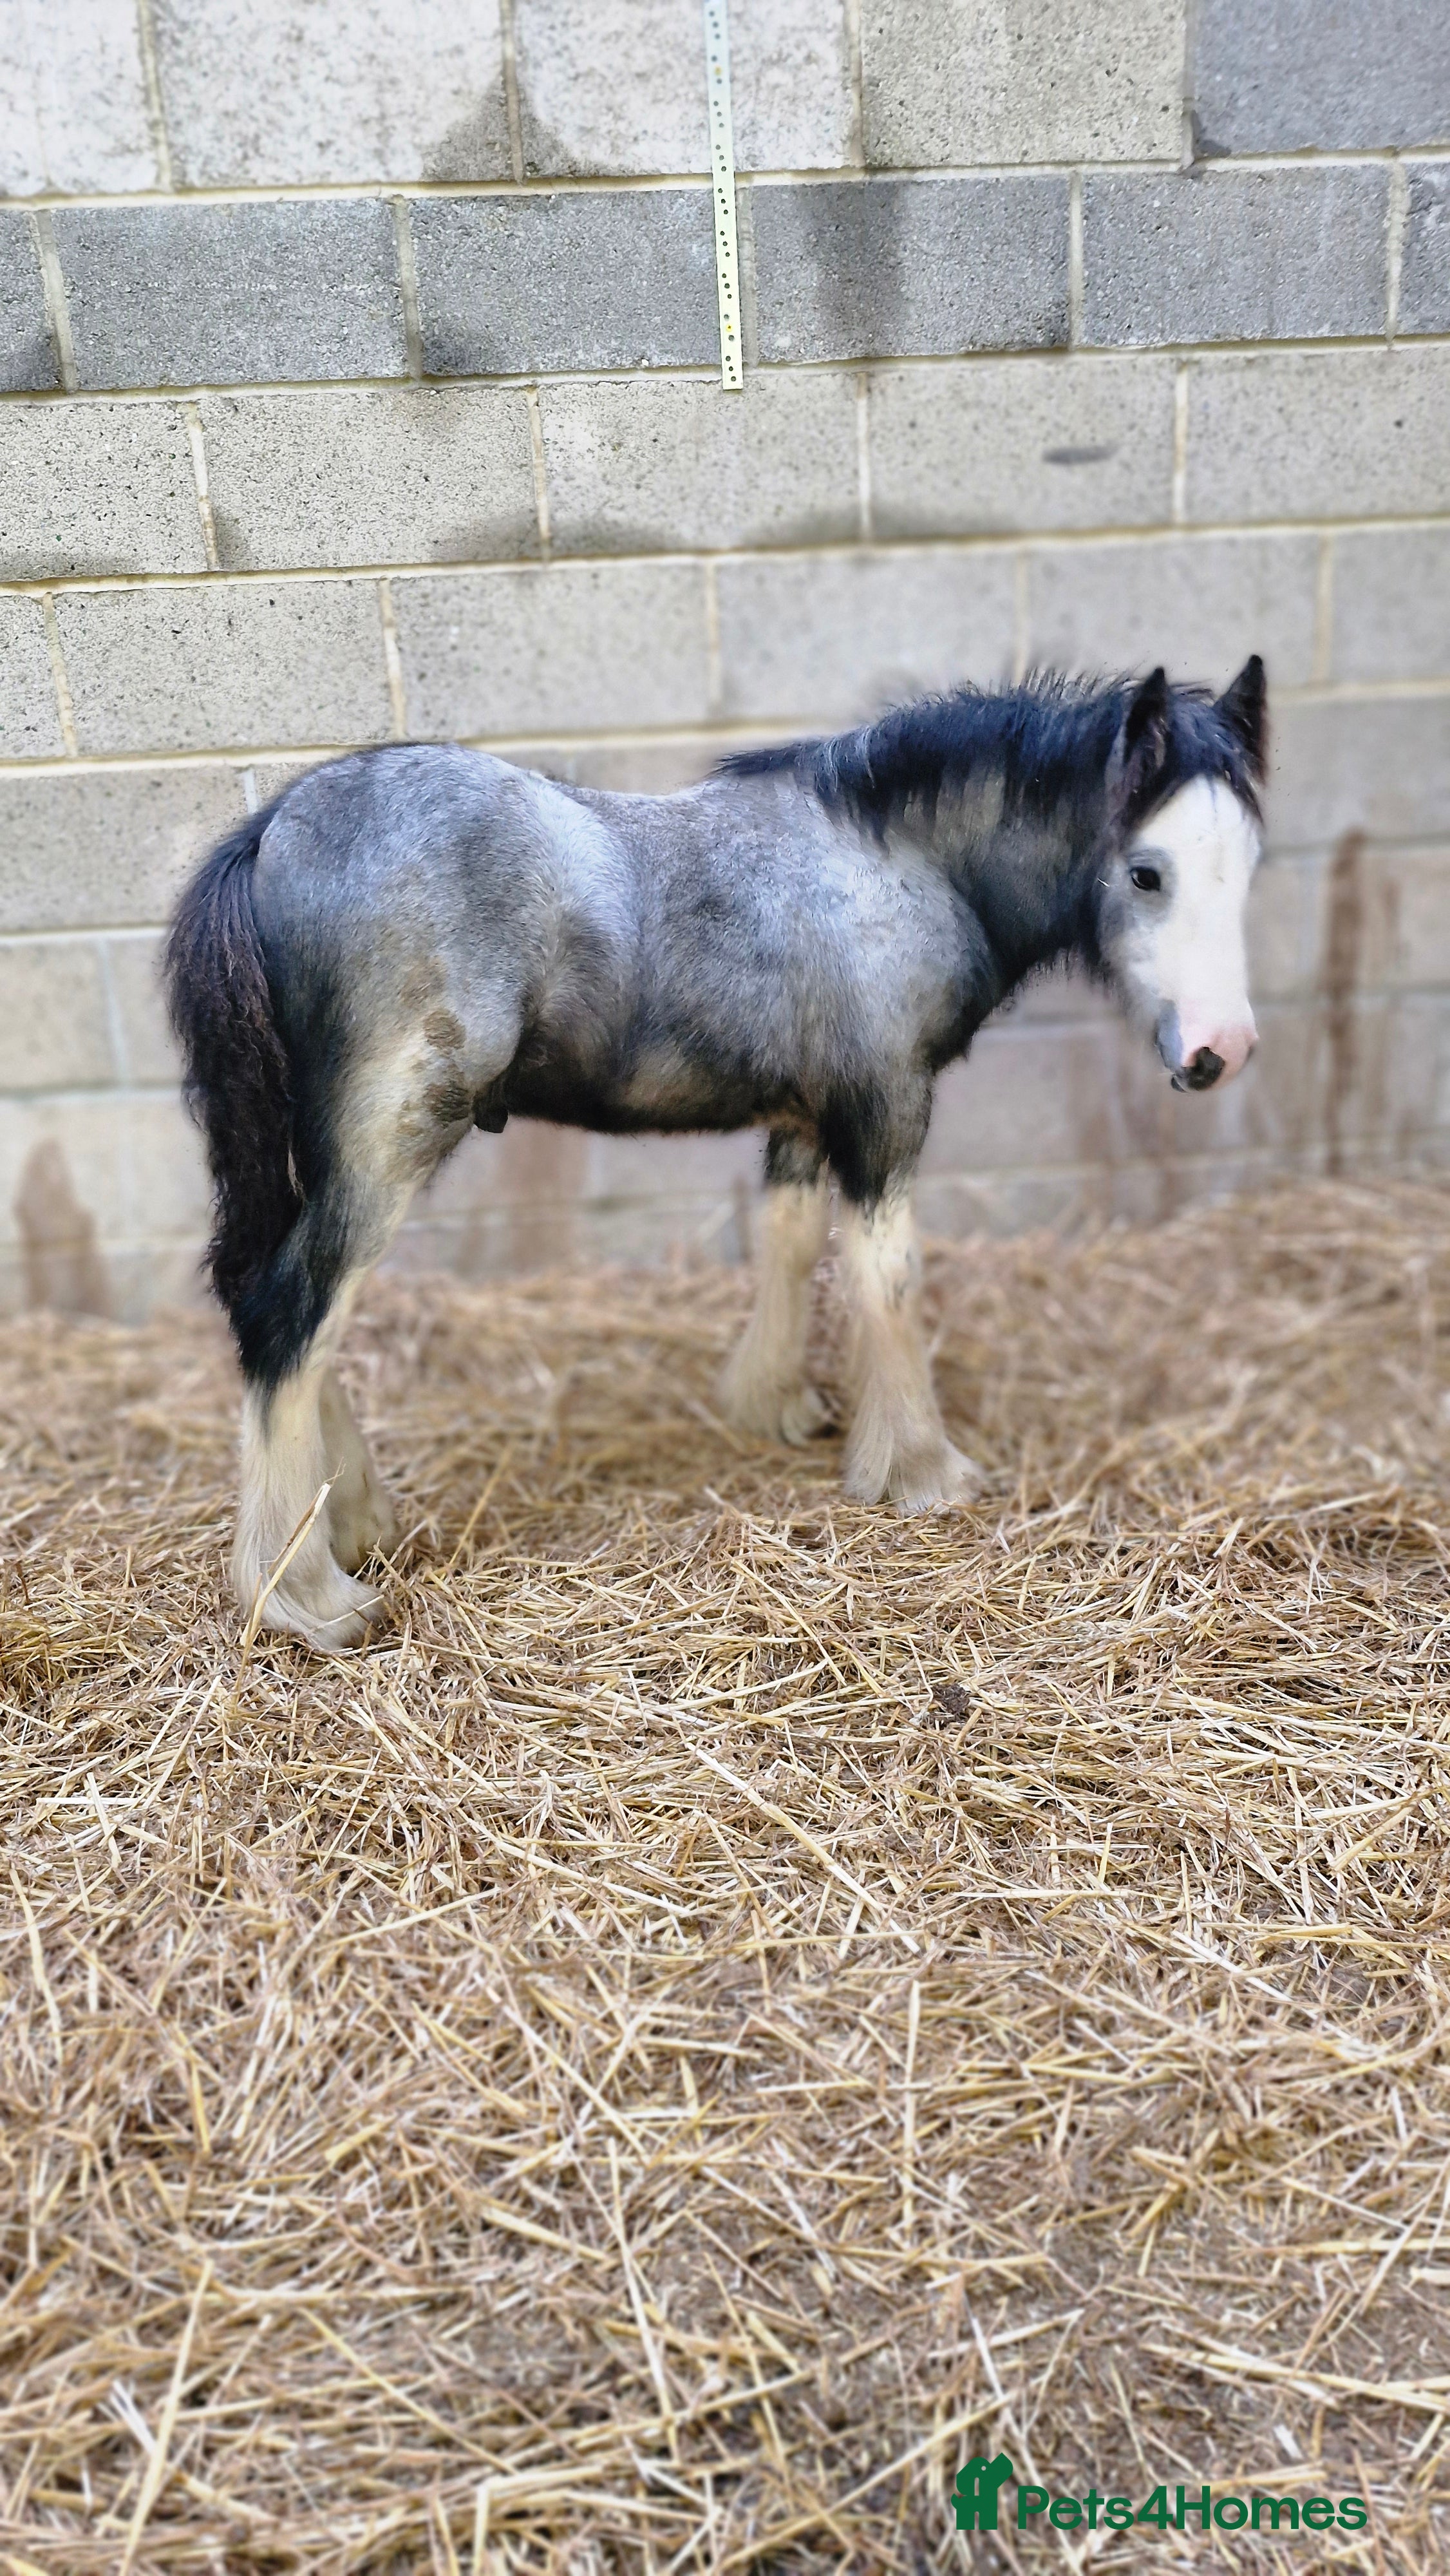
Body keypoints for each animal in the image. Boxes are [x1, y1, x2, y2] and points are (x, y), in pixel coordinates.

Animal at [166, 658, 1267, 1652]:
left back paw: (351, 1523)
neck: (892, 862)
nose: (1221, 1053)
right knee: (292, 1312)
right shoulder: (886, 1110)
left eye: (1249, 864)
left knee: (285, 1309)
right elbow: (890, 1276)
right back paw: (306, 1594)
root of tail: (271, 831)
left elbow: (789, 1243)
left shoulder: (806, 1121)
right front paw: (922, 1471)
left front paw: (774, 1407)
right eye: (1147, 871)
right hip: (393, 1132)